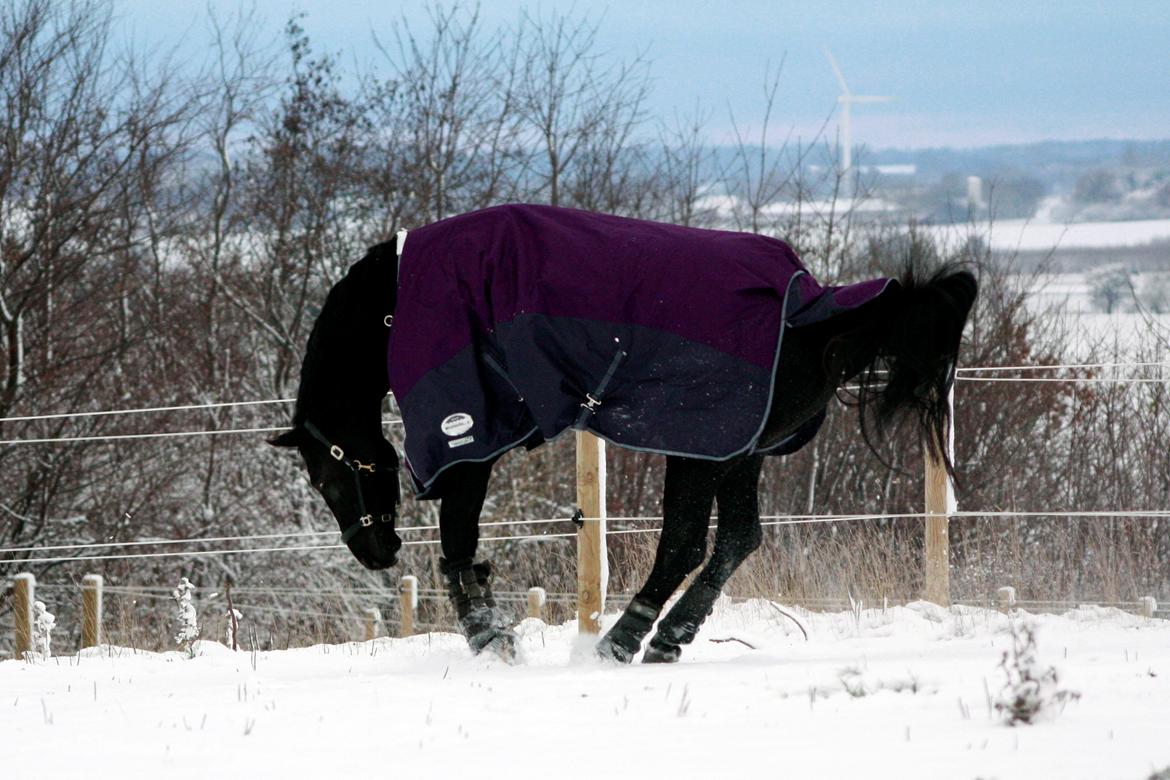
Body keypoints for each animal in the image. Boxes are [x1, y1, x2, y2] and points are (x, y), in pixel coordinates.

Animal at [273, 204, 978, 664]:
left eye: (327, 475)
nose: (374, 553)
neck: (396, 306)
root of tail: (813, 310)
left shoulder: (471, 439)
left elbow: (457, 539)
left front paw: (486, 636)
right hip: (735, 450)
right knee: (736, 540)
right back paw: (669, 637)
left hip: (697, 451)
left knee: (684, 545)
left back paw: (622, 638)